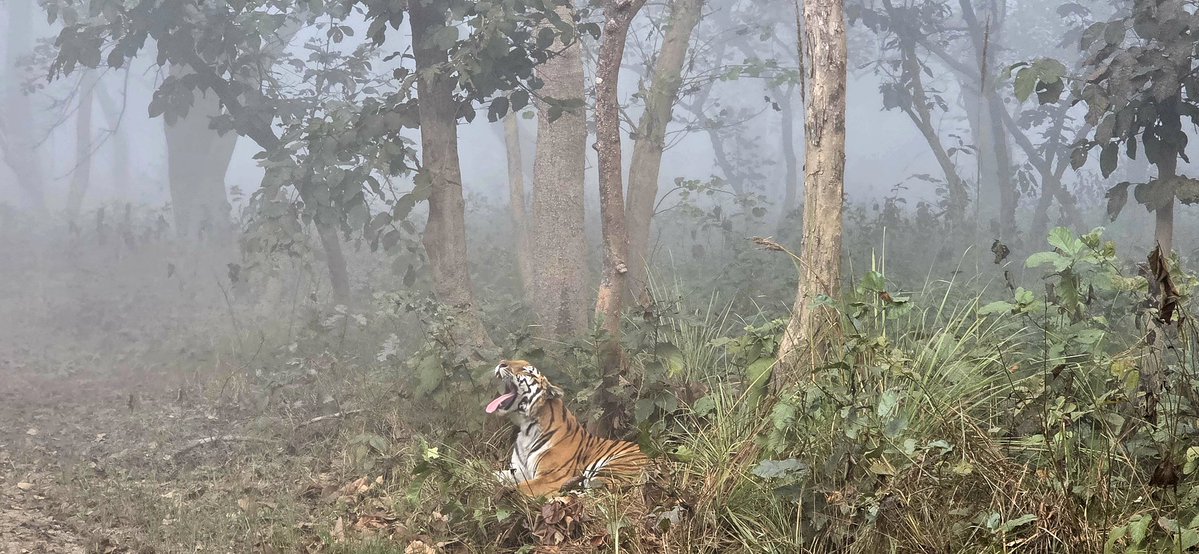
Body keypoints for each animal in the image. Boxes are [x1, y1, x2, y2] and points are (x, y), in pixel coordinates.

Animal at [486, 359, 649, 497]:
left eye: (527, 371)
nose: (501, 363)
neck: (526, 429)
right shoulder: (518, 471)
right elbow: (492, 474)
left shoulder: (551, 477)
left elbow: (521, 488)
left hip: (611, 468)